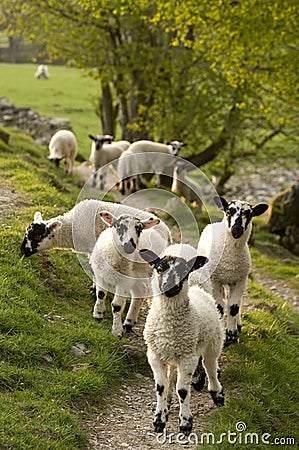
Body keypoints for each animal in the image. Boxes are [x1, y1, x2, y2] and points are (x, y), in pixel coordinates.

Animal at [19, 200, 172, 330]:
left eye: (37, 236)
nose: (22, 251)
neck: (71, 227)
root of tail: (168, 232)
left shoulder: (93, 247)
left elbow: (94, 272)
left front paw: (95, 293)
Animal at [141, 244, 225, 434]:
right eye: (159, 268)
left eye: (183, 271)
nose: (170, 287)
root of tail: (196, 288)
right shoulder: (154, 355)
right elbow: (161, 387)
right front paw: (159, 419)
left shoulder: (188, 357)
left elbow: (183, 390)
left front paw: (185, 423)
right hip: (173, 353)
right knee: (172, 375)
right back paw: (168, 401)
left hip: (213, 343)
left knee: (210, 366)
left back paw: (217, 394)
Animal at [197, 195, 270, 346]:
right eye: (228, 211)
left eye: (249, 214)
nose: (237, 229)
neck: (230, 259)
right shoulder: (215, 280)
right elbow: (219, 306)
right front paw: (223, 333)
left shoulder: (240, 280)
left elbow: (233, 307)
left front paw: (232, 335)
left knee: (237, 302)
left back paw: (238, 324)